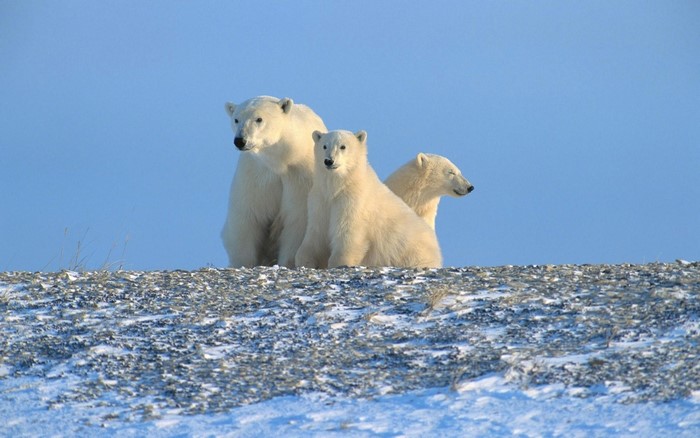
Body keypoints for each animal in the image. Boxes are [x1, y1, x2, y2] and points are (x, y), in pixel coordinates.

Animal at [222, 96, 326, 268]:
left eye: (259, 119)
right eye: (236, 119)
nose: (240, 140)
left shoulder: (300, 177)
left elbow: (297, 220)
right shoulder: (256, 175)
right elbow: (247, 217)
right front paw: (243, 263)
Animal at [295, 130, 443, 269]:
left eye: (343, 146)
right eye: (324, 146)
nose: (329, 161)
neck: (339, 187)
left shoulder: (353, 201)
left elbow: (348, 232)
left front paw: (339, 262)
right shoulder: (320, 200)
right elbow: (316, 232)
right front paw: (305, 260)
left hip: (412, 252)